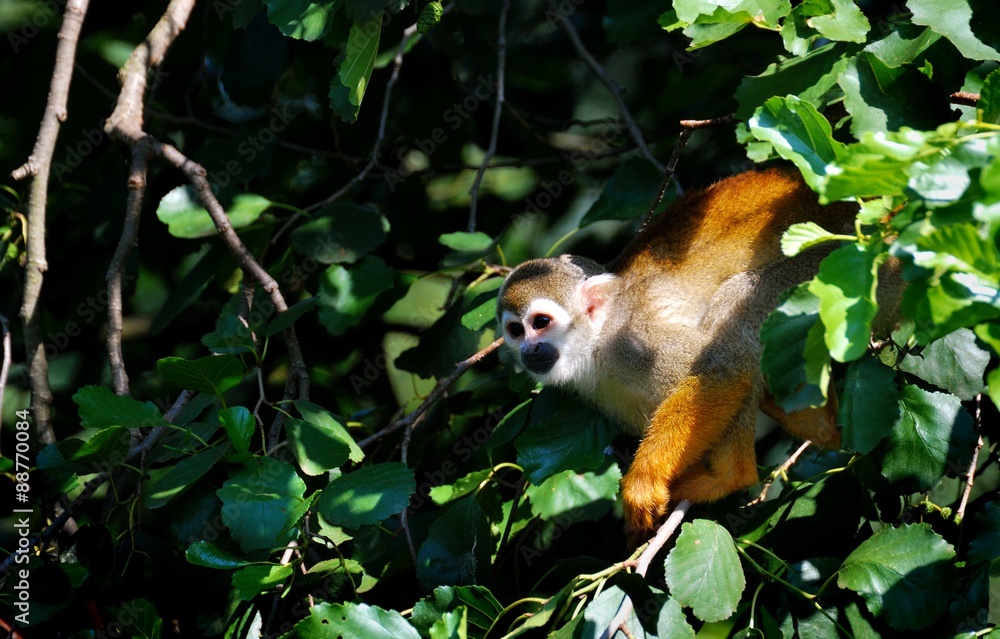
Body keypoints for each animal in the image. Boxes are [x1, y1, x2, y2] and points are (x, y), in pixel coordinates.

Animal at [497, 166, 878, 540]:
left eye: (541, 322)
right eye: (515, 330)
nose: (529, 349)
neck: (597, 346)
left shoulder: (636, 342)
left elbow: (726, 368)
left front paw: (644, 480)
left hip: (827, 274)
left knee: (738, 324)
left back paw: (732, 475)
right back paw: (815, 425)